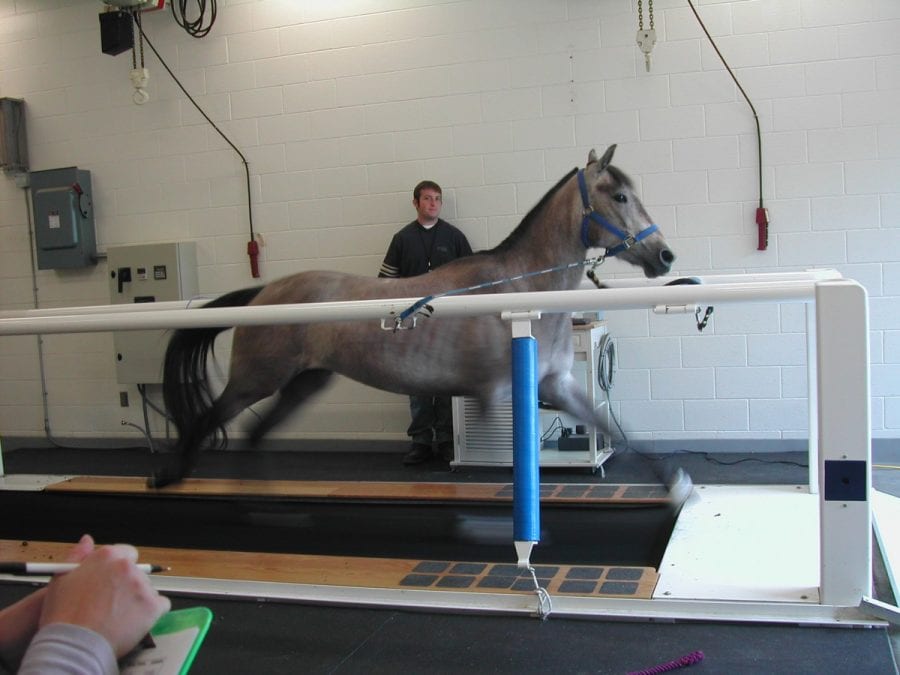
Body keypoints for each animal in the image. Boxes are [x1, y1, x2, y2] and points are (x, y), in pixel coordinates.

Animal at [156, 145, 676, 488]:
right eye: (620, 197)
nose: (664, 255)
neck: (521, 290)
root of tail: (265, 292)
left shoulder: (557, 385)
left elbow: (616, 431)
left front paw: (675, 484)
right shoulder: (495, 394)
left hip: (302, 382)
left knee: (254, 433)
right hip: (254, 380)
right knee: (207, 420)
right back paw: (169, 477)